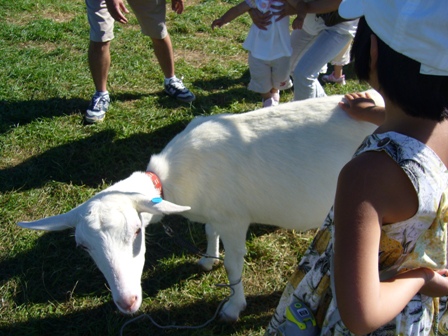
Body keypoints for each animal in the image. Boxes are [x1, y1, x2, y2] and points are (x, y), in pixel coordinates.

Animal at [17, 90, 382, 322]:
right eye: (83, 247)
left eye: (137, 232)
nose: (127, 302)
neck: (173, 178)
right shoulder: (214, 212)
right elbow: (208, 231)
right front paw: (207, 260)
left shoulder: (235, 219)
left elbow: (233, 266)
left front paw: (233, 307)